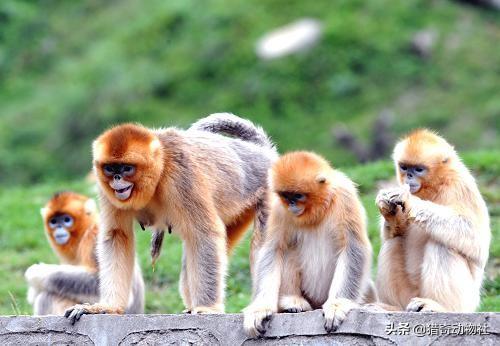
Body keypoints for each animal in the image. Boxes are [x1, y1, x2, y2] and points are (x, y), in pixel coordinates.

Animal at [63, 112, 278, 324]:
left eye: (126, 168)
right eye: (110, 168)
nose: (116, 178)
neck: (160, 169)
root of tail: (263, 153)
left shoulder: (181, 175)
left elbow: (205, 233)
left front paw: (208, 308)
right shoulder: (105, 188)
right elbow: (117, 236)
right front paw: (107, 307)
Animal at [242, 151, 376, 338]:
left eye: (298, 196)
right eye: (286, 196)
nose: (291, 204)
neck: (317, 212)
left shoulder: (345, 195)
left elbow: (352, 247)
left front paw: (338, 305)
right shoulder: (279, 209)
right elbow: (272, 250)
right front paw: (259, 309)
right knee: (287, 250)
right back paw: (292, 302)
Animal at [376, 128, 490, 312]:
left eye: (418, 169)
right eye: (404, 167)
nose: (408, 176)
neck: (434, 186)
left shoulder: (461, 184)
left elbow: (476, 241)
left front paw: (410, 201)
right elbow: (392, 234)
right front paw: (387, 207)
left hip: (466, 303)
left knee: (443, 245)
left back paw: (439, 306)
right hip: (409, 294)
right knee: (393, 242)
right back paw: (392, 307)